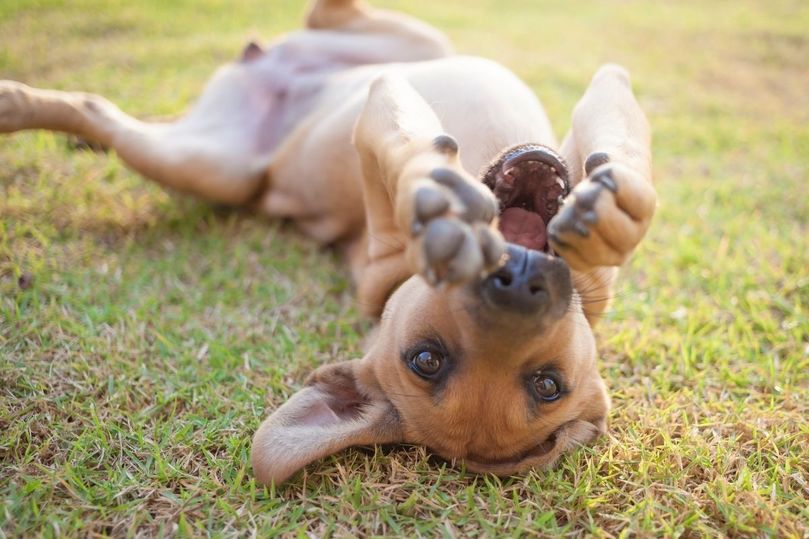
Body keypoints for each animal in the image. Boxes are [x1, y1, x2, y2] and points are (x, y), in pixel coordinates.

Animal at [0, 0, 656, 486]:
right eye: (426, 359)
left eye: (548, 385)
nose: (517, 280)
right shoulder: (381, 125)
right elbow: (416, 152)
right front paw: (439, 197)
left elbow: (619, 145)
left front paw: (610, 209)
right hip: (228, 152)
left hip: (221, 148)